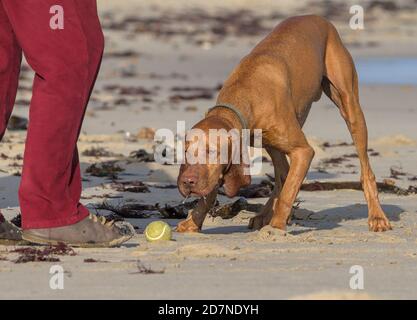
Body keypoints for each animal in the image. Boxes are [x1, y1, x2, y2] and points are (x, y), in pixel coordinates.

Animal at [175, 15, 390, 234]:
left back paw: (377, 216)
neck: (244, 95)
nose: (187, 182)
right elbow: (211, 193)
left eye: (212, 152)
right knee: (282, 175)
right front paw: (194, 221)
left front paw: (276, 227)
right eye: (185, 152)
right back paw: (263, 215)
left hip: (350, 108)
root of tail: (319, 18)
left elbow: (288, 192)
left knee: (365, 170)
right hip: (274, 142)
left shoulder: (303, 151)